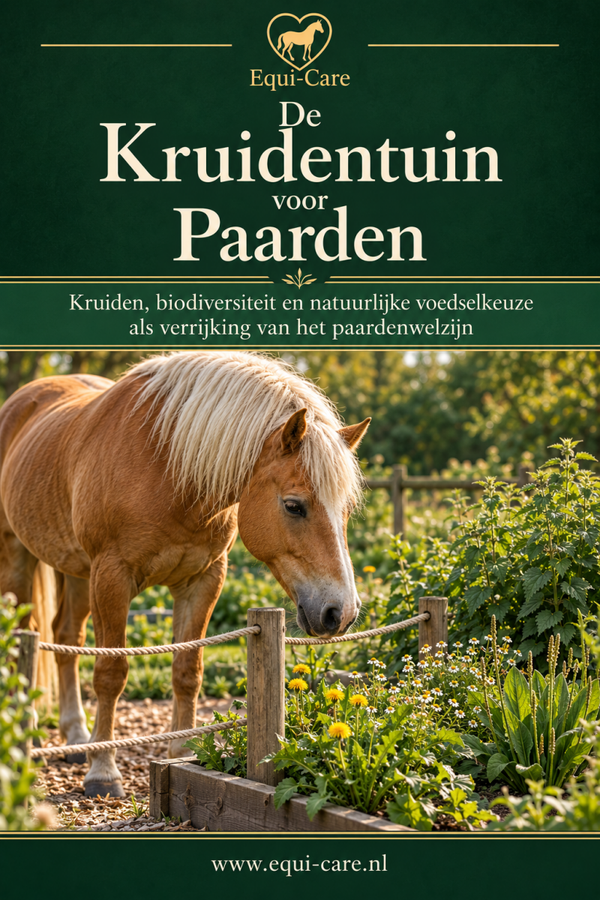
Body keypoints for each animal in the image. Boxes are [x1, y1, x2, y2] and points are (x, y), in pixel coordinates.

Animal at [0, 352, 369, 797]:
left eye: (345, 510)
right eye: (294, 505)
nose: (341, 613)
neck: (167, 469)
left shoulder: (203, 581)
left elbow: (187, 671)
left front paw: (183, 754)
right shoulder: (112, 577)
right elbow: (110, 674)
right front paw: (103, 771)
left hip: (76, 571)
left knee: (65, 637)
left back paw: (75, 736)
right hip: (19, 557)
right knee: (27, 638)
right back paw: (31, 740)